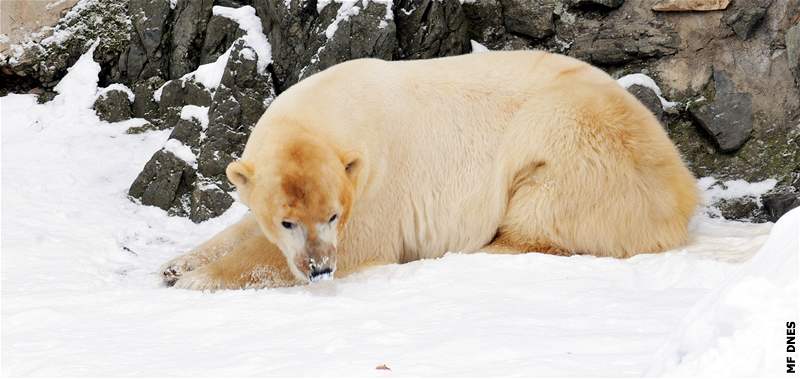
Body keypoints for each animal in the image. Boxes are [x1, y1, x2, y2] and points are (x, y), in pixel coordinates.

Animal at [162, 51, 700, 290]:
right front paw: (178, 263)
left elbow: (363, 242)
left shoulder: (378, 180)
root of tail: (684, 185)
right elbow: (247, 227)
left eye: (333, 215)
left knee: (543, 208)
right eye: (287, 220)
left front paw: (200, 278)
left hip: (578, 139)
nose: (319, 268)